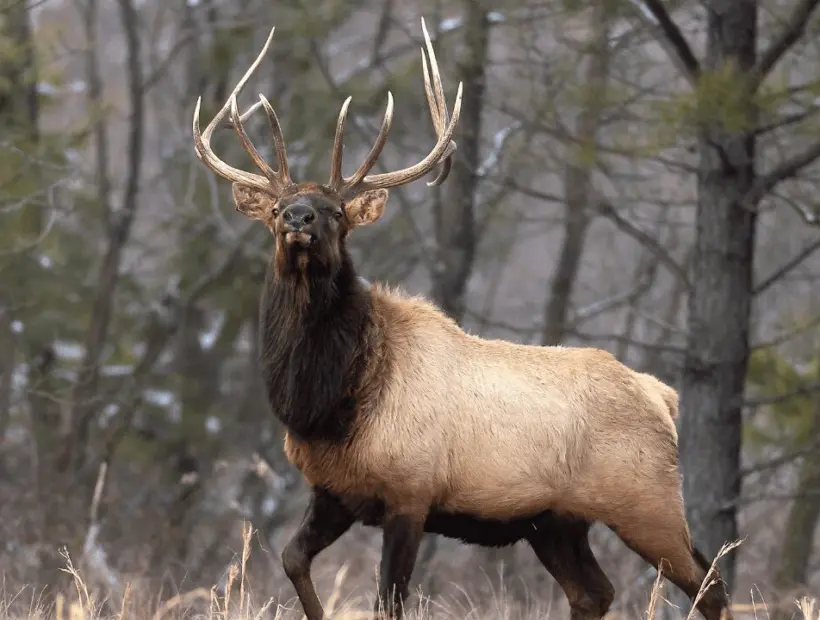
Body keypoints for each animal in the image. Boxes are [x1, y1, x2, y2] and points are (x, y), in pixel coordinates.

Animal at [191, 19, 734, 620]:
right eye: (271, 210)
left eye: (335, 212)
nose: (297, 217)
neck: (329, 405)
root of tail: (662, 397)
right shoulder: (334, 493)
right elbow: (292, 560)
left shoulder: (411, 492)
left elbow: (389, 601)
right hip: (556, 522)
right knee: (595, 591)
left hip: (648, 501)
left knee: (711, 584)